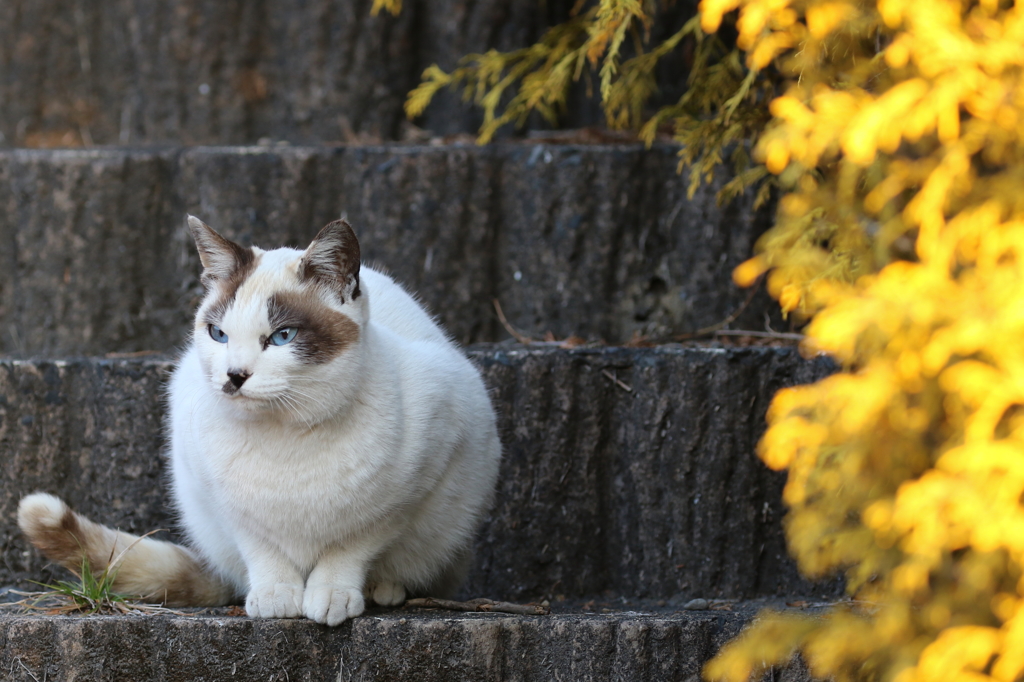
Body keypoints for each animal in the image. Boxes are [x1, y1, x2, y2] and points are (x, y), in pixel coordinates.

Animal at [17, 215, 503, 622]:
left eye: (282, 337)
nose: (234, 375)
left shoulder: (407, 492)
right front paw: (275, 596)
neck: (288, 435)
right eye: (218, 334)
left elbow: (349, 549)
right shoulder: (224, 503)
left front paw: (332, 594)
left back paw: (384, 589)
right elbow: (262, 549)